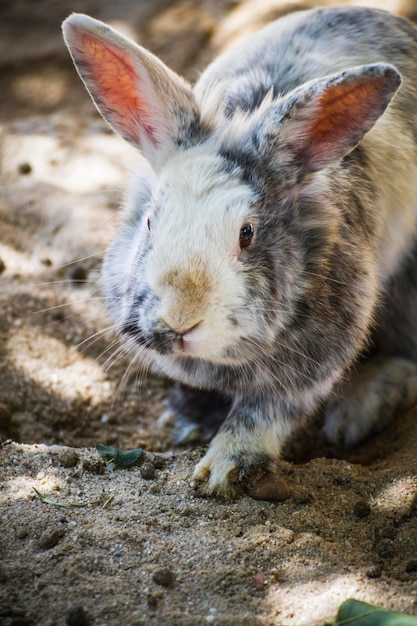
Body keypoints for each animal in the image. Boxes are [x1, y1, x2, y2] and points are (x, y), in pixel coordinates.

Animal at [61, 3, 416, 492]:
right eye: (150, 222)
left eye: (247, 233)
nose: (180, 321)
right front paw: (190, 422)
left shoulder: (308, 365)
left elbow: (264, 413)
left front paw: (223, 470)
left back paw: (357, 412)